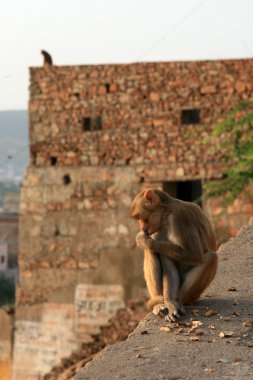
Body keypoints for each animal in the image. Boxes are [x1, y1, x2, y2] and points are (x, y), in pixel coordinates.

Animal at [130, 187, 217, 320]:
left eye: (141, 218)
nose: (141, 227)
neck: (166, 213)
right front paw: (170, 303)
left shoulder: (178, 218)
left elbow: (195, 254)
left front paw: (146, 241)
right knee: (154, 253)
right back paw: (161, 304)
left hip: (192, 294)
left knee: (211, 257)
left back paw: (177, 300)